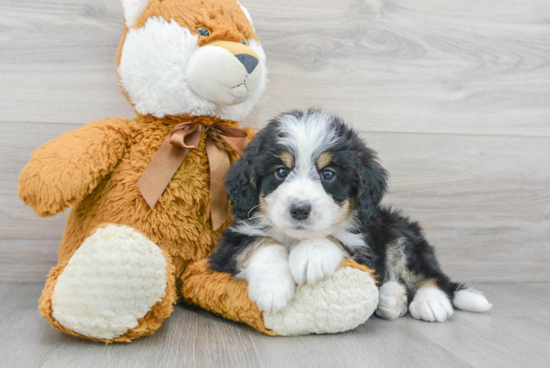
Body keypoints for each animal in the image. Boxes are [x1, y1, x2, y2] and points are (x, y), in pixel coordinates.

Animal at [209, 109, 494, 322]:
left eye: (328, 174)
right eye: (280, 171)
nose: (300, 209)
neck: (296, 238)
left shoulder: (365, 245)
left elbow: (337, 237)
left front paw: (311, 255)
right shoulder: (229, 244)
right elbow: (262, 242)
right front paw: (273, 286)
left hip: (400, 233)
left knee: (433, 276)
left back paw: (431, 302)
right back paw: (392, 298)